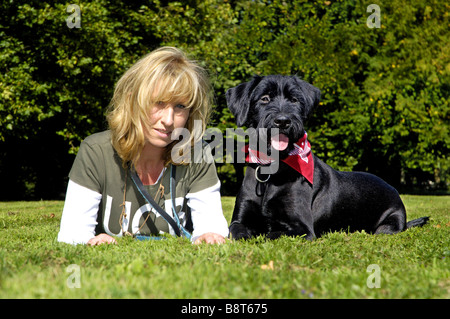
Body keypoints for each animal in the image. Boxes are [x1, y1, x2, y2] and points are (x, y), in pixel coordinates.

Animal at [227, 75, 428, 240]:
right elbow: (237, 232)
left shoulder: (302, 228)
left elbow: (271, 234)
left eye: (294, 100)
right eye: (264, 98)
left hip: (389, 223)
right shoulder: (239, 220)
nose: (283, 121)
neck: (272, 170)